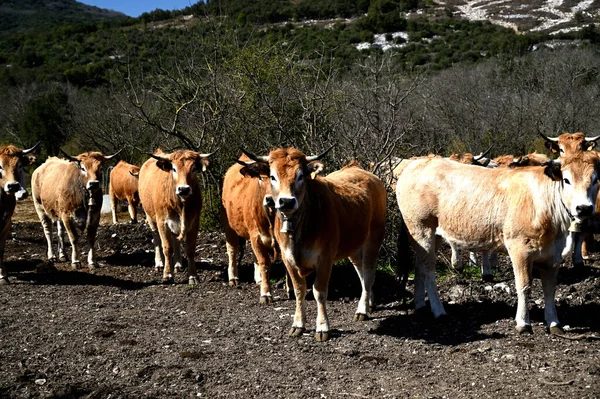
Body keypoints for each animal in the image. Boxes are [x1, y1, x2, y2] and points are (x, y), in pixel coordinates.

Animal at [139, 149, 214, 284]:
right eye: (174, 169)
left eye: (194, 168)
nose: (183, 189)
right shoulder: (162, 222)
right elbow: (167, 248)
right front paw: (168, 275)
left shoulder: (194, 222)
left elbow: (190, 249)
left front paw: (193, 276)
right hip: (150, 217)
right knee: (156, 239)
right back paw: (159, 263)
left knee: (175, 240)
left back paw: (178, 264)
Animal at [220, 155, 284, 304]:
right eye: (260, 178)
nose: (270, 199)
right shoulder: (257, 236)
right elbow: (265, 263)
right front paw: (266, 294)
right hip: (229, 225)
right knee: (232, 249)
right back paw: (233, 278)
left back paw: (258, 278)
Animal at [240, 148, 386, 342]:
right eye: (272, 176)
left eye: (301, 176)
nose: (286, 201)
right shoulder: (288, 259)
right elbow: (299, 290)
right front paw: (298, 324)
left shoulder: (325, 258)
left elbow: (319, 292)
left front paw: (323, 327)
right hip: (353, 245)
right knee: (361, 272)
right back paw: (368, 301)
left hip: (374, 238)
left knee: (368, 273)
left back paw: (362, 309)